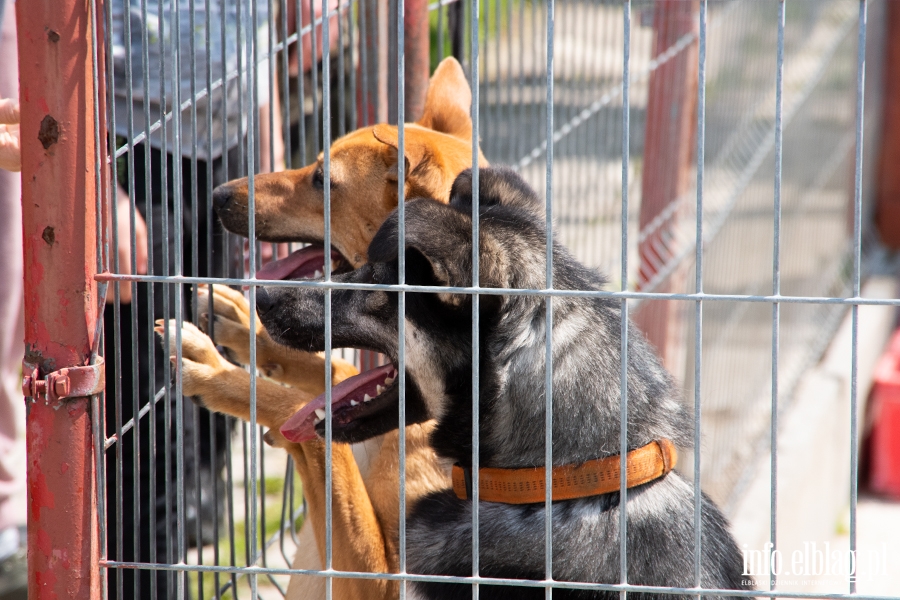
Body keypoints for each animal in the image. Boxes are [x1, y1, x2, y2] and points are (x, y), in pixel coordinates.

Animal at [158, 57, 488, 600]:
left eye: (321, 180)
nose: (216, 195)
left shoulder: (380, 579)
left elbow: (304, 417)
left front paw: (214, 373)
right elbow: (331, 372)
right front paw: (242, 327)